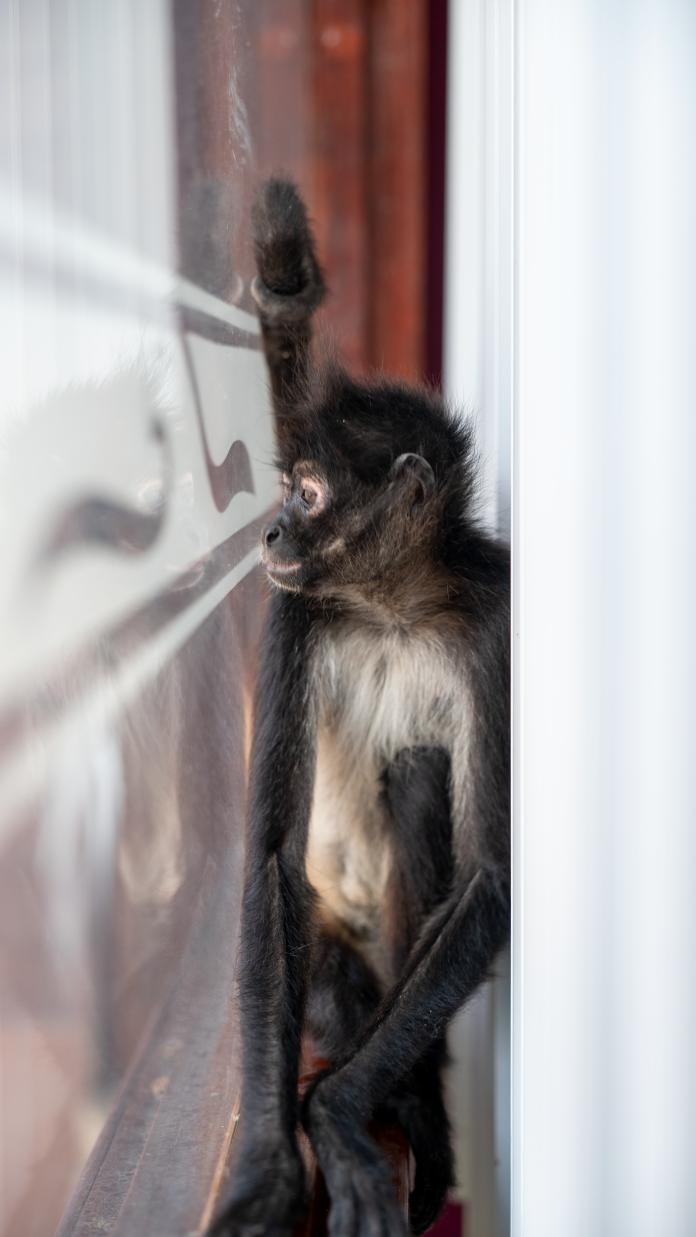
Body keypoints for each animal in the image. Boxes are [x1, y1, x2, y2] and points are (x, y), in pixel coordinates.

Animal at [210, 180, 510, 1237]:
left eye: (307, 495)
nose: (269, 532)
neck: (390, 605)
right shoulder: (294, 608)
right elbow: (268, 862)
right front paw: (270, 1160)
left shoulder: (492, 616)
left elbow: (490, 881)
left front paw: (336, 1119)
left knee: (417, 770)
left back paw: (410, 1098)